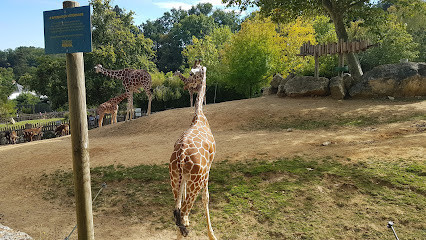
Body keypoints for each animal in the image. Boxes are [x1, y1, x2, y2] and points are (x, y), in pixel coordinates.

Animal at [169, 59, 216, 239]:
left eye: (192, 72)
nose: (187, 85)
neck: (199, 117)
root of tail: (181, 156)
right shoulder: (208, 169)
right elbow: (206, 198)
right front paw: (212, 235)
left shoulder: (184, 178)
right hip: (196, 179)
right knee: (183, 214)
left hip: (174, 176)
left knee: (178, 213)